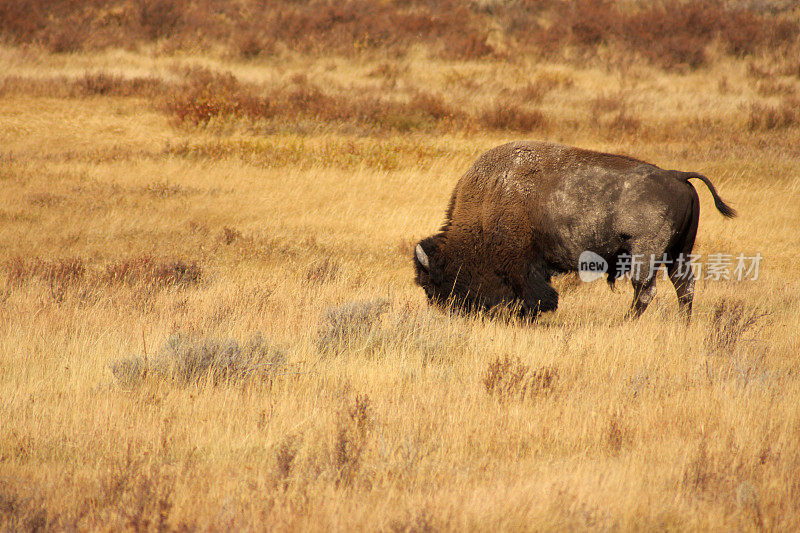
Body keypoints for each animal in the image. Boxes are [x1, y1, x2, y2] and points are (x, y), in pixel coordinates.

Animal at [416, 140, 736, 320]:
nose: (445, 310)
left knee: (645, 290)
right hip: (679, 252)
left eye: (433, 282)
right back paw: (683, 323)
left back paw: (624, 322)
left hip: (646, 251)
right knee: (684, 286)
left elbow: (535, 294)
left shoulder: (523, 265)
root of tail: (677, 176)